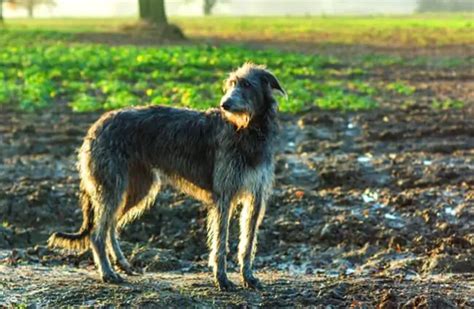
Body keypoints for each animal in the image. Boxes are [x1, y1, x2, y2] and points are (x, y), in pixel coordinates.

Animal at [48, 62, 286, 288]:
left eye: (247, 84)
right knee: (97, 233)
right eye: (231, 84)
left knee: (110, 226)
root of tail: (96, 125)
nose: (224, 104)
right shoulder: (224, 196)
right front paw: (222, 279)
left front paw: (249, 277)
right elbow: (220, 242)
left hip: (138, 187)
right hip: (112, 186)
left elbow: (248, 242)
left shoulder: (256, 196)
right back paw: (108, 273)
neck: (248, 130)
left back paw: (122, 264)